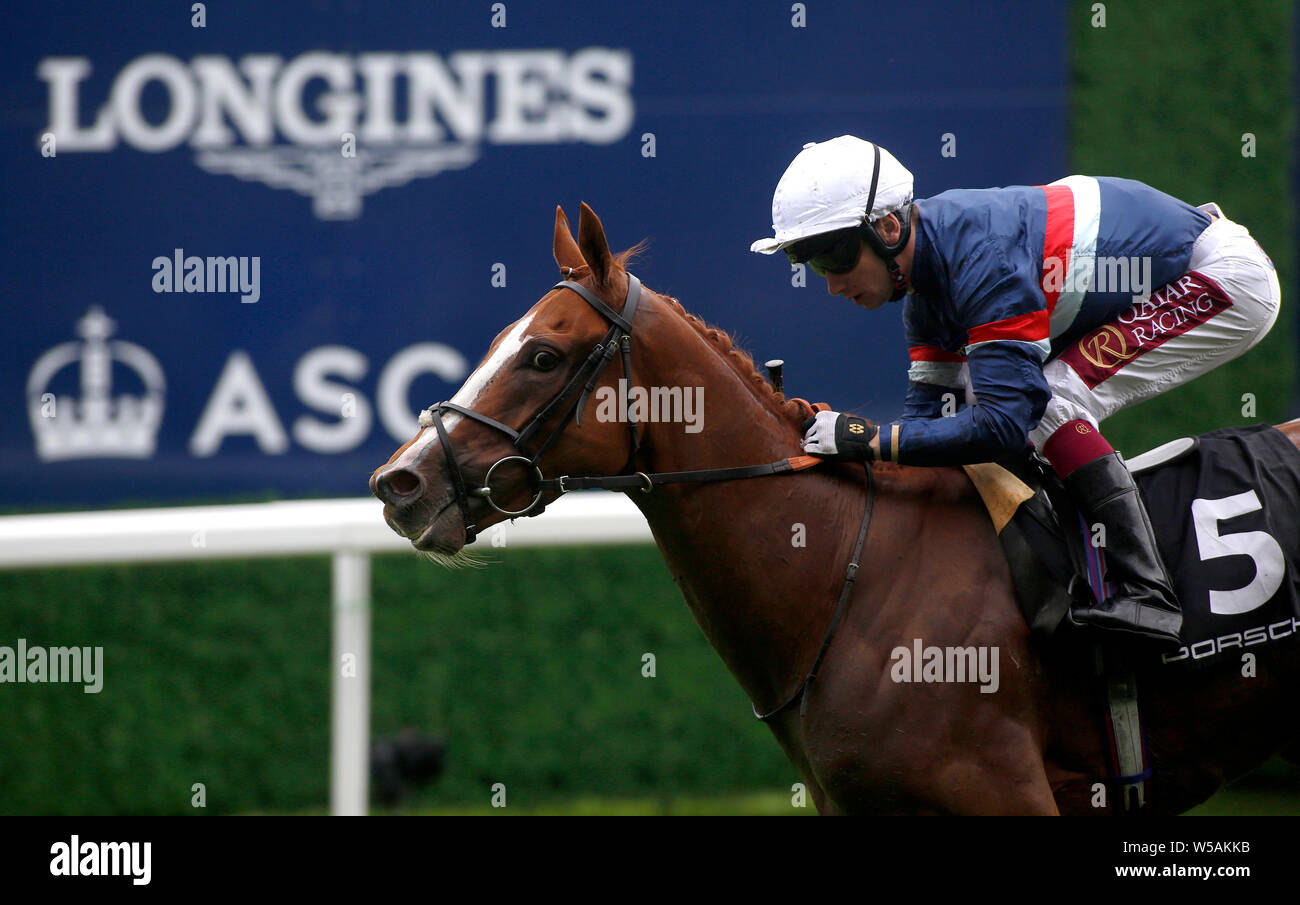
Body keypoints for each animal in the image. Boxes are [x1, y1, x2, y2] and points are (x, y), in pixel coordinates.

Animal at [371, 202, 1294, 811]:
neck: (853, 568)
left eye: (541, 354)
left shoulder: (1002, 792)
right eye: (501, 342)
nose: (399, 483)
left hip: (1227, 291)